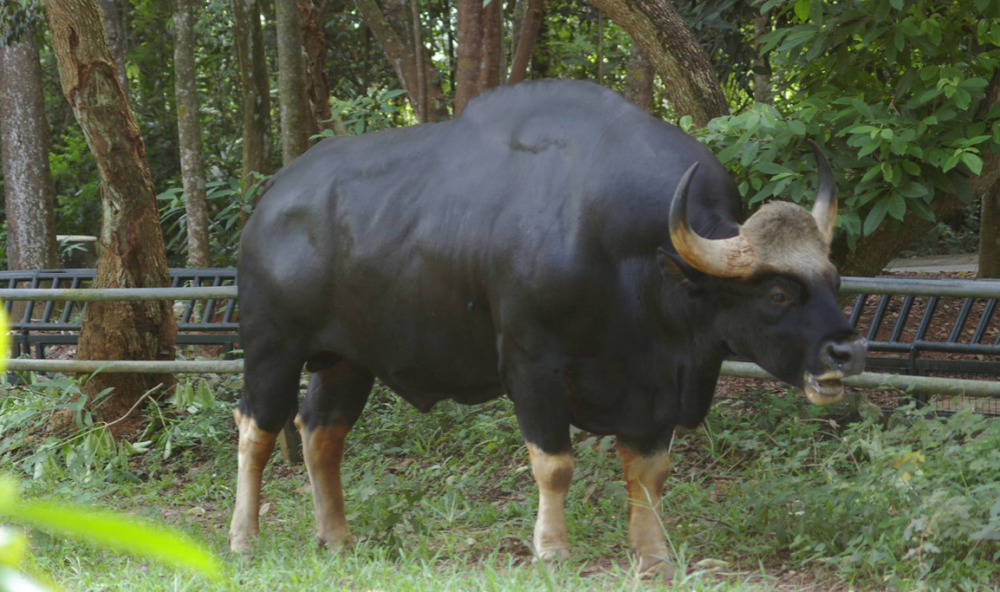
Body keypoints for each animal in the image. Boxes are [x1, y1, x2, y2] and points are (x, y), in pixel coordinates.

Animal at [229, 80, 868, 572]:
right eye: (778, 292)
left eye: (834, 279)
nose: (847, 350)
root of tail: (271, 200)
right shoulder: (532, 366)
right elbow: (555, 465)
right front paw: (552, 551)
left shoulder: (651, 388)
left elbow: (650, 473)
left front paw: (653, 556)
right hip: (270, 348)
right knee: (256, 430)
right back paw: (242, 539)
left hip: (347, 360)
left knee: (321, 431)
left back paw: (336, 538)